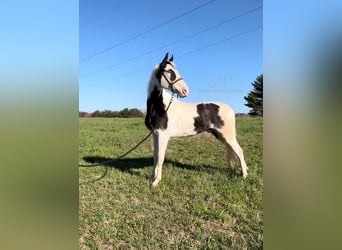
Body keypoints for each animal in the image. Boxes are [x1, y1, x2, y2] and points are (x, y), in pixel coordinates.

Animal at [146, 52, 247, 187]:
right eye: (169, 71)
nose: (185, 91)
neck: (161, 107)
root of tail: (230, 109)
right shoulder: (155, 135)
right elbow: (155, 157)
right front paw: (151, 178)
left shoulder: (163, 136)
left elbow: (160, 158)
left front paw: (156, 182)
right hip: (220, 135)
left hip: (228, 136)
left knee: (239, 151)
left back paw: (244, 175)